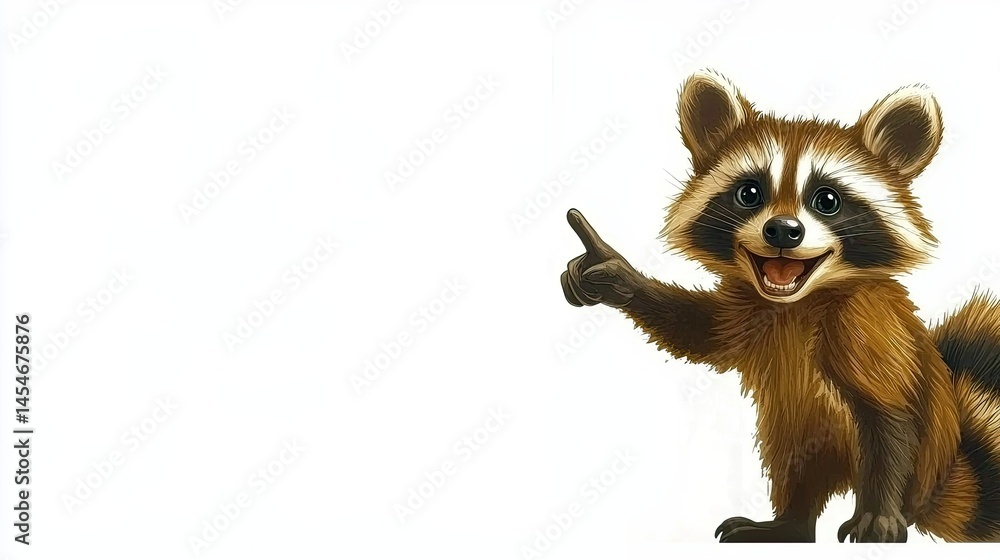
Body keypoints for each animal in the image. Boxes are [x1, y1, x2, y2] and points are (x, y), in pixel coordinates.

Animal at [560, 70, 1000, 542]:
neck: (796, 303)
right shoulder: (748, 309)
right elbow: (702, 333)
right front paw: (619, 276)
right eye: (749, 193)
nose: (783, 231)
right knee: (793, 464)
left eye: (827, 200)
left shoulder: (867, 323)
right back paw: (791, 522)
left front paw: (879, 511)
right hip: (793, 435)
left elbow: (890, 415)